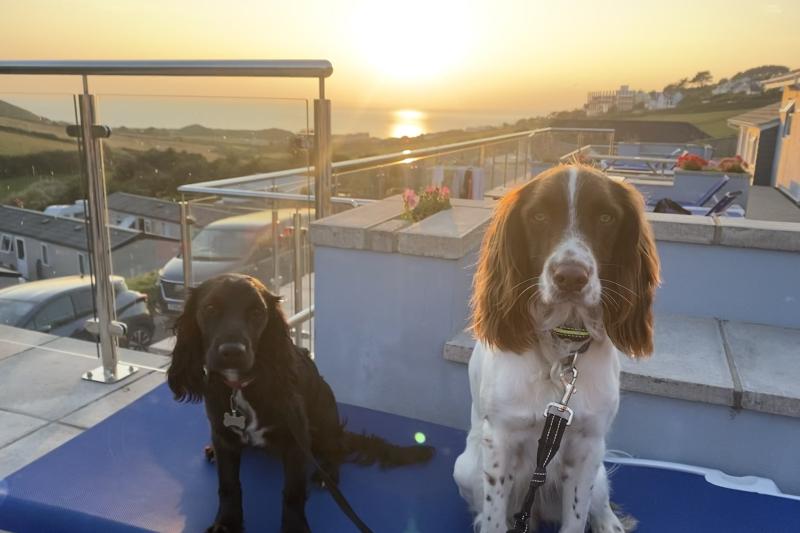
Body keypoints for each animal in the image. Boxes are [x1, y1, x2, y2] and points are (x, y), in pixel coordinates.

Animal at [166, 274, 434, 532]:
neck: (242, 387)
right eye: (210, 308)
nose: (233, 352)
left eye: (257, 313)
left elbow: (293, 492)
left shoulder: (296, 440)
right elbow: (229, 485)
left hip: (325, 414)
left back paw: (328, 473)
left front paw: (294, 527)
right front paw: (227, 523)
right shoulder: (223, 436)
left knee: (337, 447)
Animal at [454, 164, 660, 528]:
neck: (561, 350)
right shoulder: (500, 440)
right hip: (465, 469)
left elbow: (576, 518)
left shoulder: (588, 444)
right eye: (538, 216)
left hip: (598, 471)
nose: (571, 277)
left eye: (606, 217)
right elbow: (494, 519)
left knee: (601, 507)